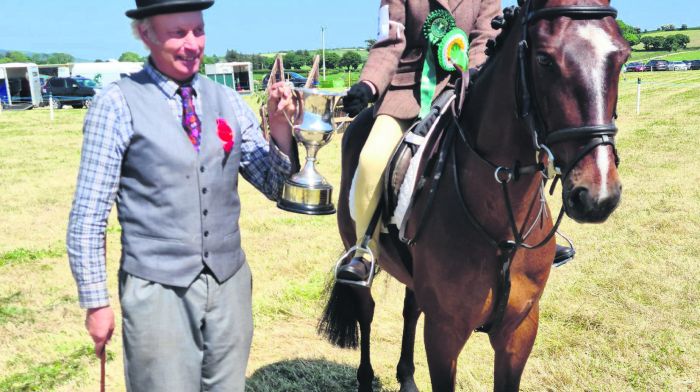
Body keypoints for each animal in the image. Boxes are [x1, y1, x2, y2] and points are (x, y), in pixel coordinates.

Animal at [320, 1, 632, 390]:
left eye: (622, 57)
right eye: (544, 60)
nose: (598, 196)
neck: (503, 227)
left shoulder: (520, 329)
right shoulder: (444, 333)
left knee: (411, 308)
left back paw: (407, 378)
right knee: (367, 311)